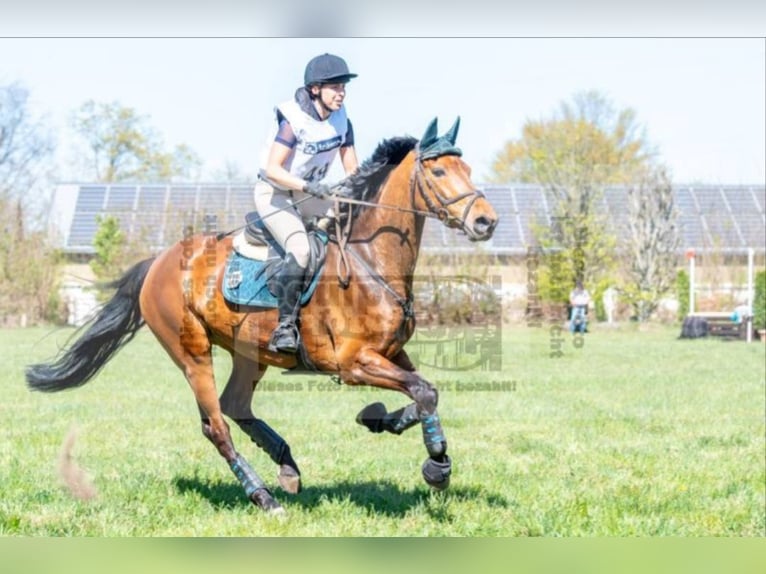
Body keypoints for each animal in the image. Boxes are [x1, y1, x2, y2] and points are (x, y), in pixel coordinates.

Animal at [26, 117, 499, 514]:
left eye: (467, 167)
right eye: (439, 173)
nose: (486, 222)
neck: (370, 260)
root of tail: (157, 263)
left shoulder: (392, 354)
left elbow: (424, 391)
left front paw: (387, 423)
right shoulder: (352, 363)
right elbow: (423, 392)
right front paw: (435, 466)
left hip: (248, 351)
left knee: (235, 405)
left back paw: (287, 466)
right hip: (192, 351)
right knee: (216, 425)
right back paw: (263, 495)